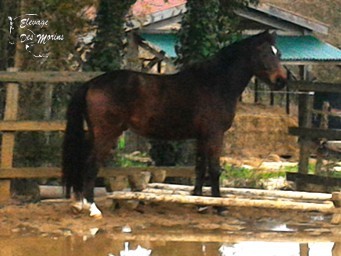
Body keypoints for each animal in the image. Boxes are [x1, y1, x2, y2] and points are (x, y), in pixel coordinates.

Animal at [62, 31, 286, 217]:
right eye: (265, 53)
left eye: (279, 53)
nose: (281, 80)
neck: (215, 84)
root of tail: (92, 83)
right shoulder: (215, 135)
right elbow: (214, 169)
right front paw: (220, 206)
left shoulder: (202, 137)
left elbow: (200, 168)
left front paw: (200, 204)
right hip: (106, 134)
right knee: (91, 165)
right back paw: (92, 208)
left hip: (94, 133)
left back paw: (78, 204)